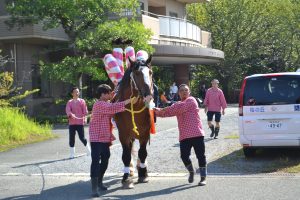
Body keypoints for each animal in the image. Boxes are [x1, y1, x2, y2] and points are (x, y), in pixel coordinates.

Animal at [113, 55, 154, 188]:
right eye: (136, 73)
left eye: (150, 72)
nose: (148, 95)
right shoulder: (123, 134)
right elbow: (126, 156)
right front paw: (126, 178)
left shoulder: (145, 133)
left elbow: (142, 153)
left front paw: (143, 174)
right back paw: (130, 170)